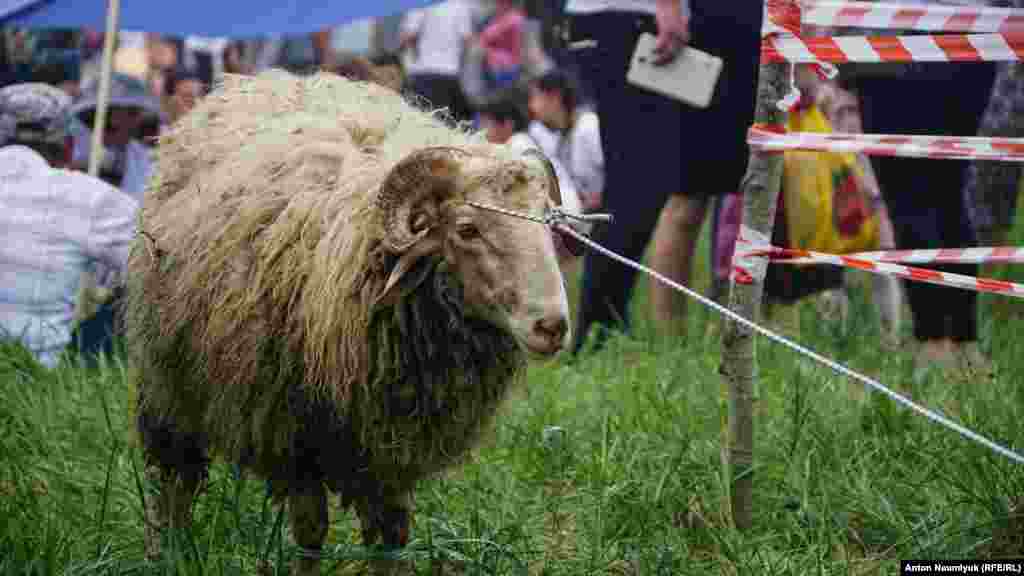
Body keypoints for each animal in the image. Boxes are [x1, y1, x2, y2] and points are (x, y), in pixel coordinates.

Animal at [124, 66, 573, 569]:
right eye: (467, 229)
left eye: (549, 224)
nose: (552, 326)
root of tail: (254, 80)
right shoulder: (294, 435)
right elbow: (310, 531)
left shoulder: (391, 449)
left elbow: (390, 536)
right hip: (166, 383)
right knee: (173, 481)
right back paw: (168, 553)